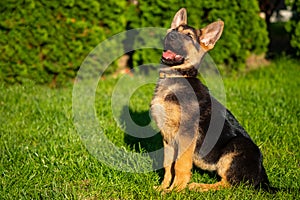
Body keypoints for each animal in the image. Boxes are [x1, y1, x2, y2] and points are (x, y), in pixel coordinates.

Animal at [151, 7, 270, 192]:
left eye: (189, 37)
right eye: (173, 30)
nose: (170, 36)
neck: (177, 76)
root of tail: (262, 177)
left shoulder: (186, 135)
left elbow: (180, 165)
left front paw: (175, 191)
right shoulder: (167, 137)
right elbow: (168, 165)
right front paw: (163, 188)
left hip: (236, 148)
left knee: (231, 184)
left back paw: (199, 186)